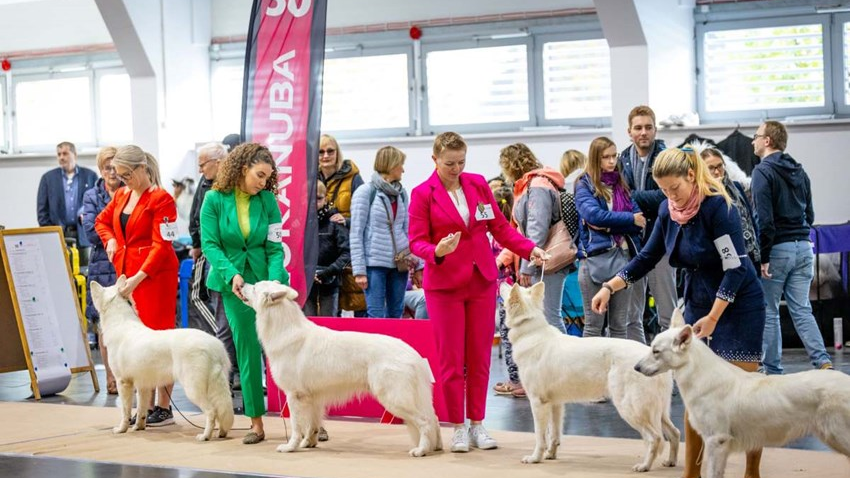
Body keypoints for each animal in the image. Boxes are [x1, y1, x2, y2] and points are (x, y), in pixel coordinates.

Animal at [90, 278, 234, 442]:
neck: (121, 322)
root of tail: (214, 345)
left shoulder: (123, 383)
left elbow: (125, 411)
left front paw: (121, 429)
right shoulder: (143, 386)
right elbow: (141, 410)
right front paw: (138, 427)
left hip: (193, 388)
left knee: (211, 411)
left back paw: (205, 436)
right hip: (217, 386)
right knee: (223, 409)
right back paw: (221, 432)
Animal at [237, 282, 440, 458]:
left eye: (254, 287)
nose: (240, 284)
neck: (285, 328)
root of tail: (413, 355)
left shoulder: (294, 396)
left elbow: (296, 426)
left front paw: (290, 447)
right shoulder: (312, 397)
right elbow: (312, 425)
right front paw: (308, 443)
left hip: (394, 399)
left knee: (425, 421)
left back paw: (421, 450)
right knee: (434, 419)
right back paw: (436, 447)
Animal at [500, 282, 680, 472]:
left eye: (509, 288)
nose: (502, 281)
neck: (530, 332)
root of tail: (651, 359)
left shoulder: (537, 403)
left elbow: (539, 436)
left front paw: (535, 458)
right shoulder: (555, 404)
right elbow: (554, 434)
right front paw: (550, 455)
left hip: (630, 408)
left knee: (655, 438)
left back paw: (644, 466)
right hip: (658, 411)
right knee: (675, 433)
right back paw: (671, 462)